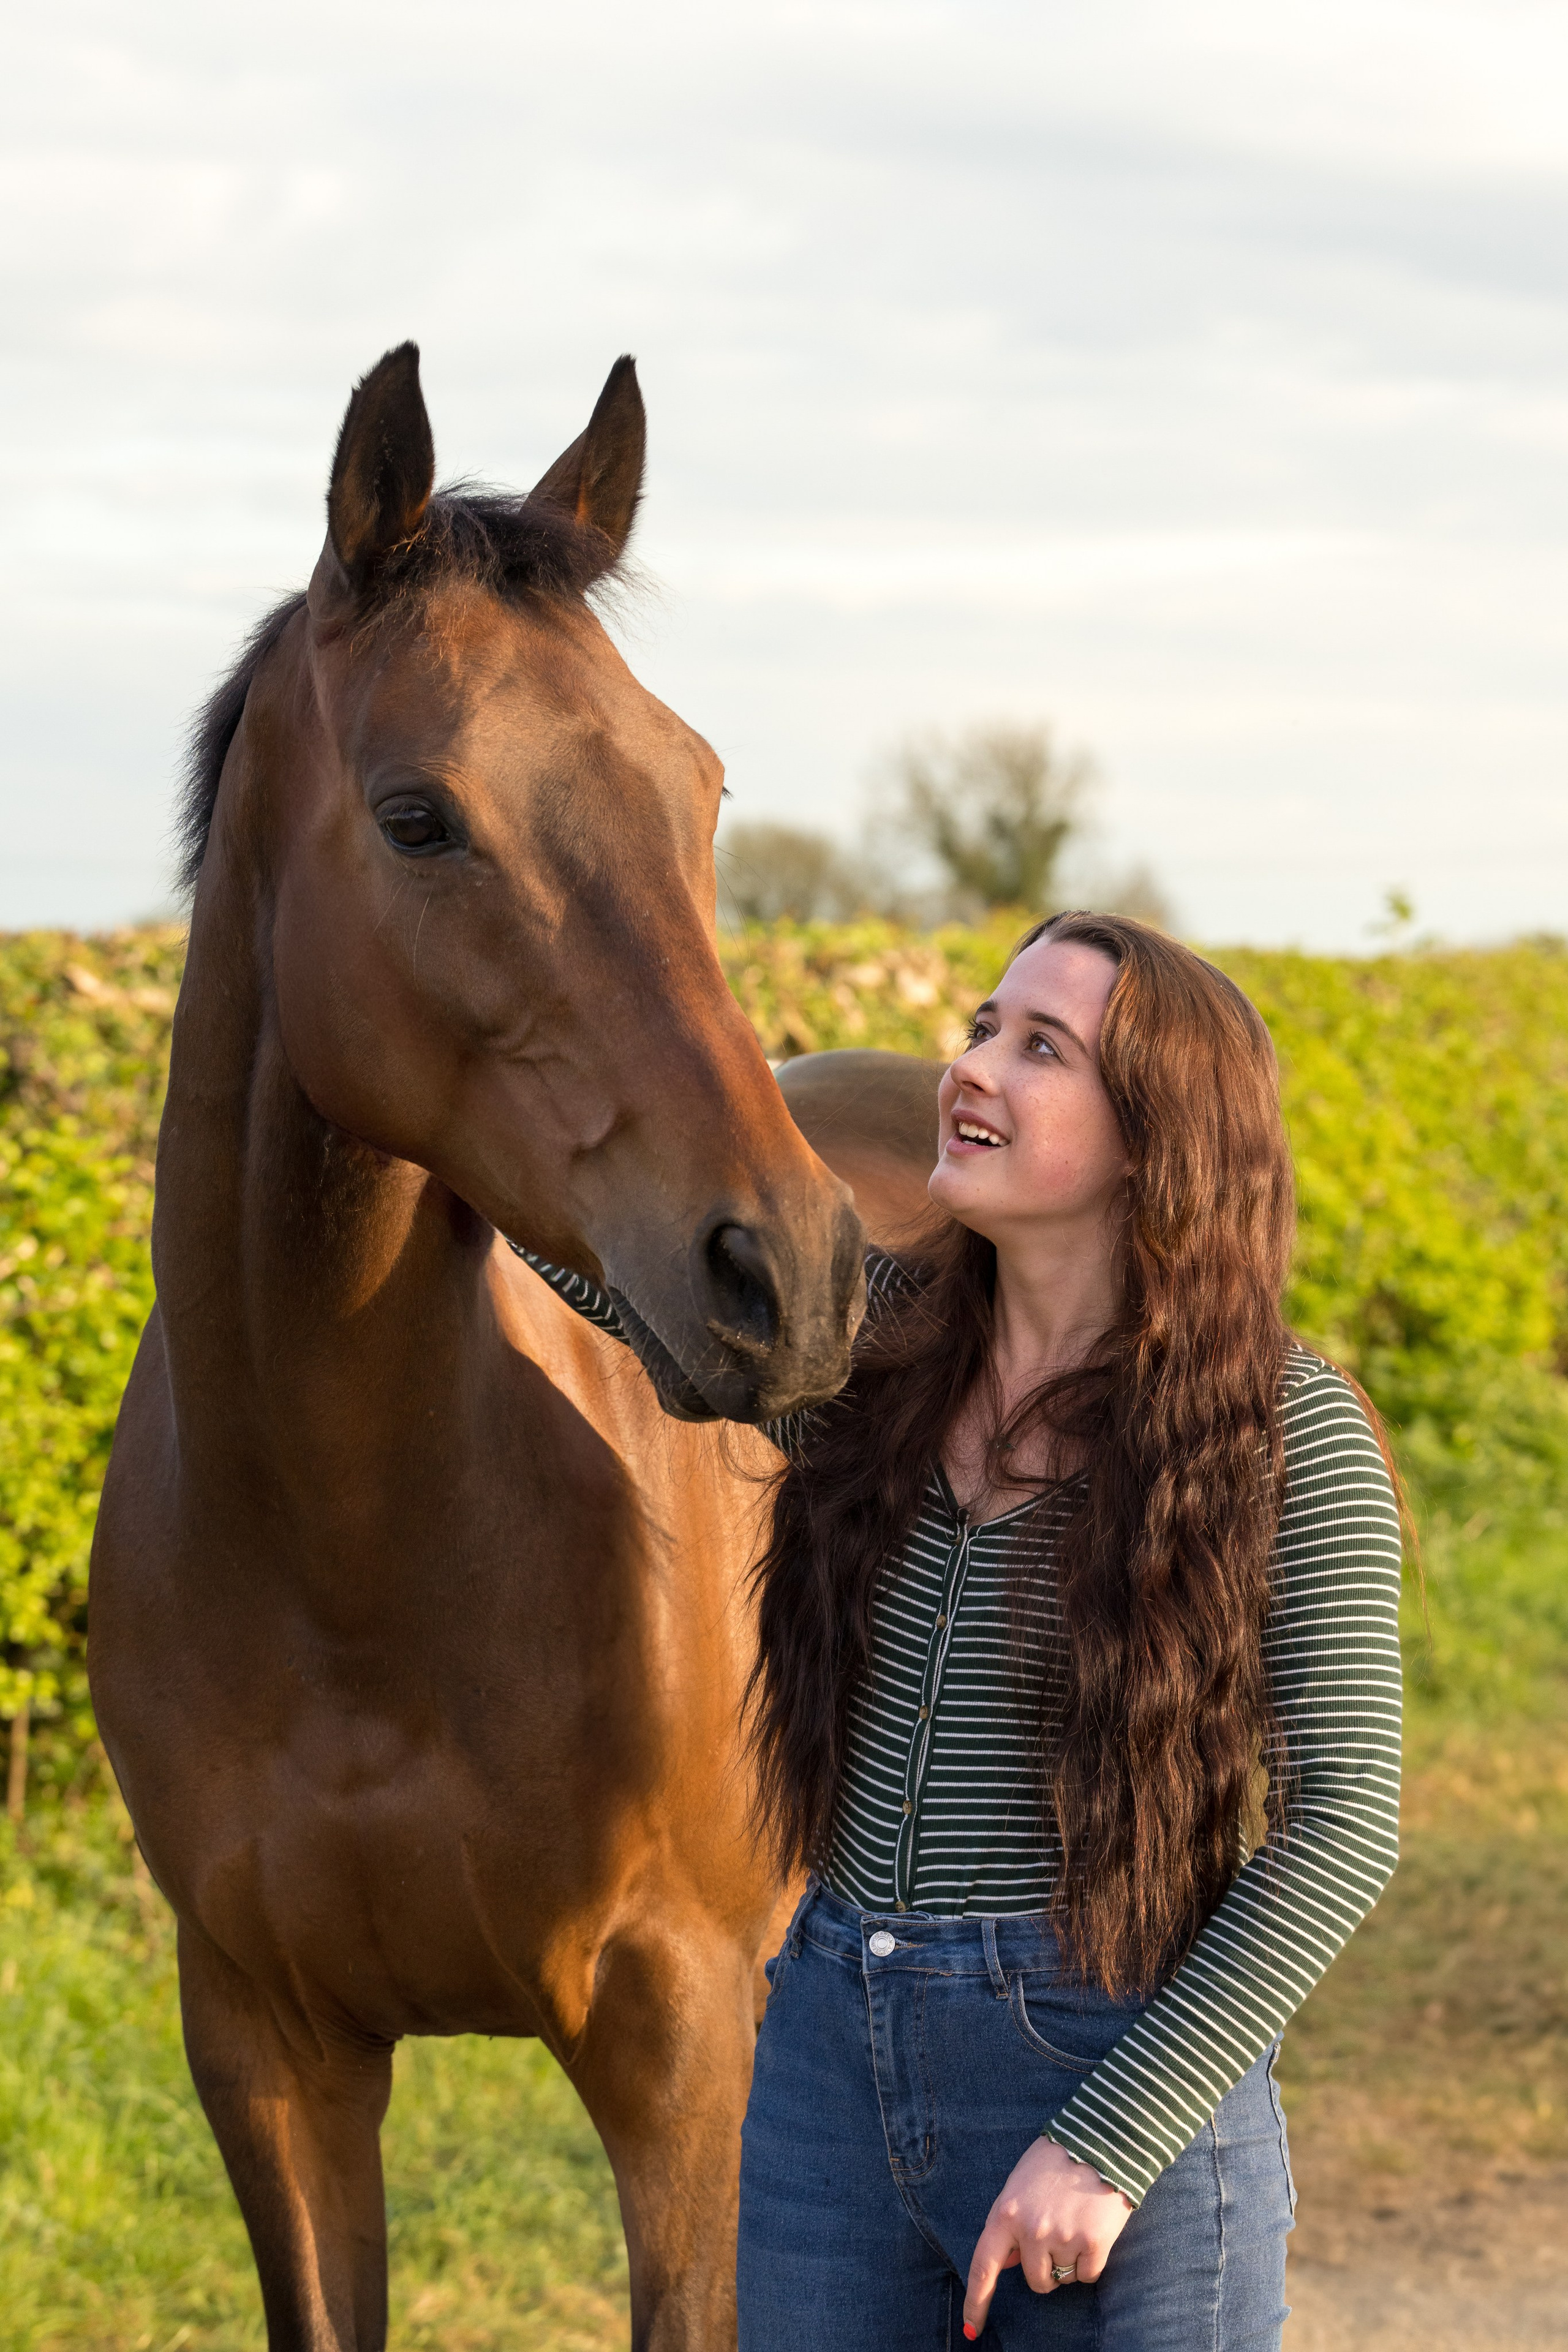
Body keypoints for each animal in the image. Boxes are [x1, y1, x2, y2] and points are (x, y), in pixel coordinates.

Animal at [88, 344, 868, 2352]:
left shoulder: (679, 2050)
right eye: (420, 815)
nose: (792, 1273)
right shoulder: (270, 2056)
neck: (352, 1562)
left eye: (700, 786)